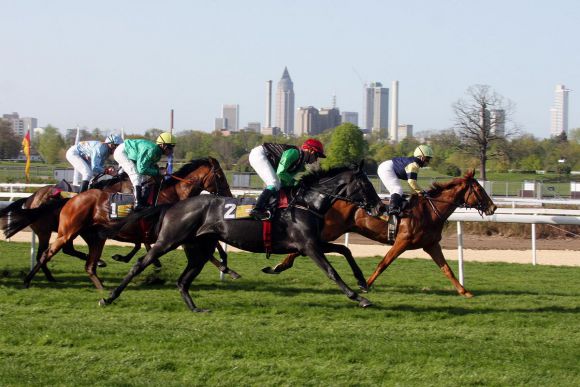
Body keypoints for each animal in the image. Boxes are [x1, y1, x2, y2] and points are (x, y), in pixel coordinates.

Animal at [17, 156, 232, 290]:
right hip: (62, 231)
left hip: (88, 234)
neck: (172, 194)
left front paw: (226, 265)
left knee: (78, 258)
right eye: (220, 176)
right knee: (47, 252)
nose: (229, 194)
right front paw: (225, 266)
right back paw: (29, 280)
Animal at [99, 164, 386, 312]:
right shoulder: (309, 246)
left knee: (183, 281)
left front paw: (362, 282)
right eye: (365, 185)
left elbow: (344, 250)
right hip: (169, 240)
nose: (380, 207)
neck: (306, 203)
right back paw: (109, 296)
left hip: (199, 249)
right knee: (141, 264)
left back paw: (196, 308)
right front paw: (358, 297)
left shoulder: (312, 243)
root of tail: (172, 205)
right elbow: (331, 271)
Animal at [266, 170, 496, 298]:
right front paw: (365, 284)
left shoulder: (431, 244)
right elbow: (383, 263)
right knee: (303, 246)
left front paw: (464, 291)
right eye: (479, 190)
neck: (429, 210)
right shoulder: (402, 241)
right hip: (330, 230)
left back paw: (280, 266)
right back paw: (280, 265)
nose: (493, 207)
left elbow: (447, 269)